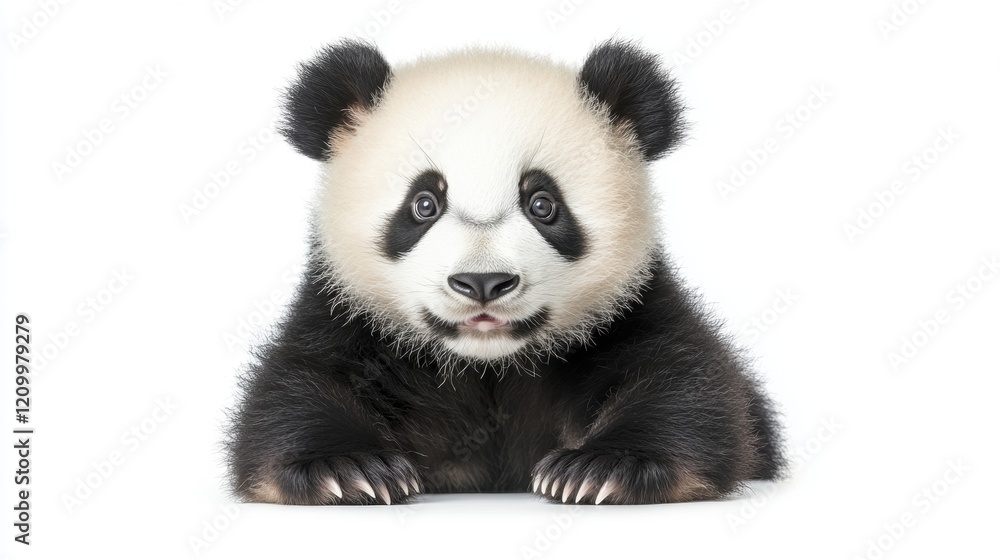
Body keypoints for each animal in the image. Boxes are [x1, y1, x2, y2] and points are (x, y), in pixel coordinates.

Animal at [226, 39, 784, 506]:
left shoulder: (630, 307)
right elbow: (292, 391)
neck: (487, 365)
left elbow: (686, 386)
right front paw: (348, 468)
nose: (483, 283)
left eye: (542, 204)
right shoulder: (345, 313)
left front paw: (600, 469)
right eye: (423, 203)